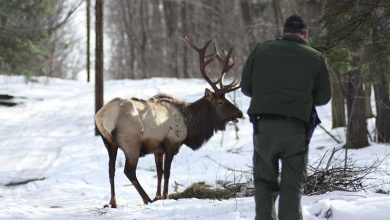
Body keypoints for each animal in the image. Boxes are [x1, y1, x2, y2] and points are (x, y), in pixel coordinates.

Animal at [95, 37, 242, 207]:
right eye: (220, 102)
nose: (240, 113)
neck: (190, 124)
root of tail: (102, 116)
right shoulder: (172, 143)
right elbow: (167, 172)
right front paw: (164, 196)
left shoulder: (158, 148)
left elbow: (159, 171)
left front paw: (158, 195)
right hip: (131, 142)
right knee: (129, 171)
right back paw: (146, 199)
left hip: (109, 142)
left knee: (111, 169)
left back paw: (113, 202)